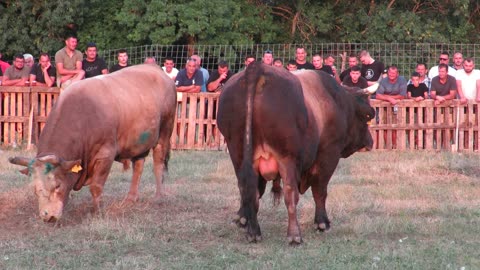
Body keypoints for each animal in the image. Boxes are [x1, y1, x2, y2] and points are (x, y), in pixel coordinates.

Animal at [9, 65, 175, 221]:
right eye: (35, 189)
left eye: (57, 185)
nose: (47, 217)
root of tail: (155, 69)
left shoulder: (105, 155)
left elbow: (96, 186)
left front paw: (97, 212)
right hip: (139, 142)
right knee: (138, 166)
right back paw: (130, 198)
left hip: (165, 131)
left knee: (158, 163)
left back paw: (158, 197)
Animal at [218, 62, 376, 244]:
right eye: (368, 116)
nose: (370, 142)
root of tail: (257, 68)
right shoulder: (329, 154)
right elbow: (320, 190)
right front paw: (322, 223)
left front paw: (242, 219)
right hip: (287, 157)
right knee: (290, 193)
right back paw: (294, 235)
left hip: (237, 152)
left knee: (247, 189)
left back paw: (254, 232)